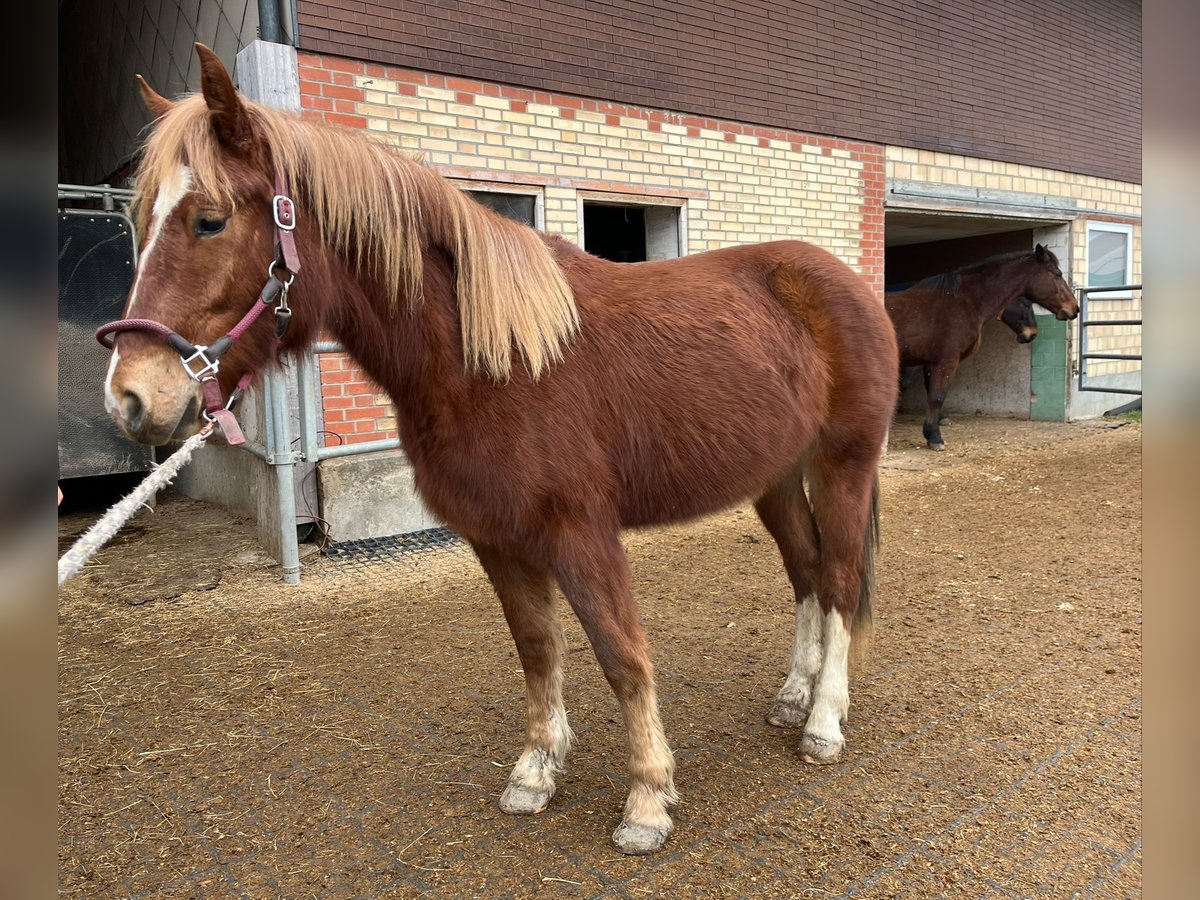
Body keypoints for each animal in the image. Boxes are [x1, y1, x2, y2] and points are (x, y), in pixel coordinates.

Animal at [100, 45, 902, 854]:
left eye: (209, 220)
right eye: (139, 218)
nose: (131, 397)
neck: (494, 361)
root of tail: (845, 284)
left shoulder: (581, 532)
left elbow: (621, 655)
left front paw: (647, 800)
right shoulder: (496, 536)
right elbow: (538, 648)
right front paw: (537, 772)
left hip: (844, 466)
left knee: (838, 580)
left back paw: (824, 722)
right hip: (776, 479)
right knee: (805, 574)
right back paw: (794, 695)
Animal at [883, 248, 1080, 451]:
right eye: (1057, 274)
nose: (1074, 308)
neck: (963, 302)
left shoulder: (931, 364)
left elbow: (932, 394)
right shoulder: (945, 361)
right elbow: (936, 397)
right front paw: (934, 437)